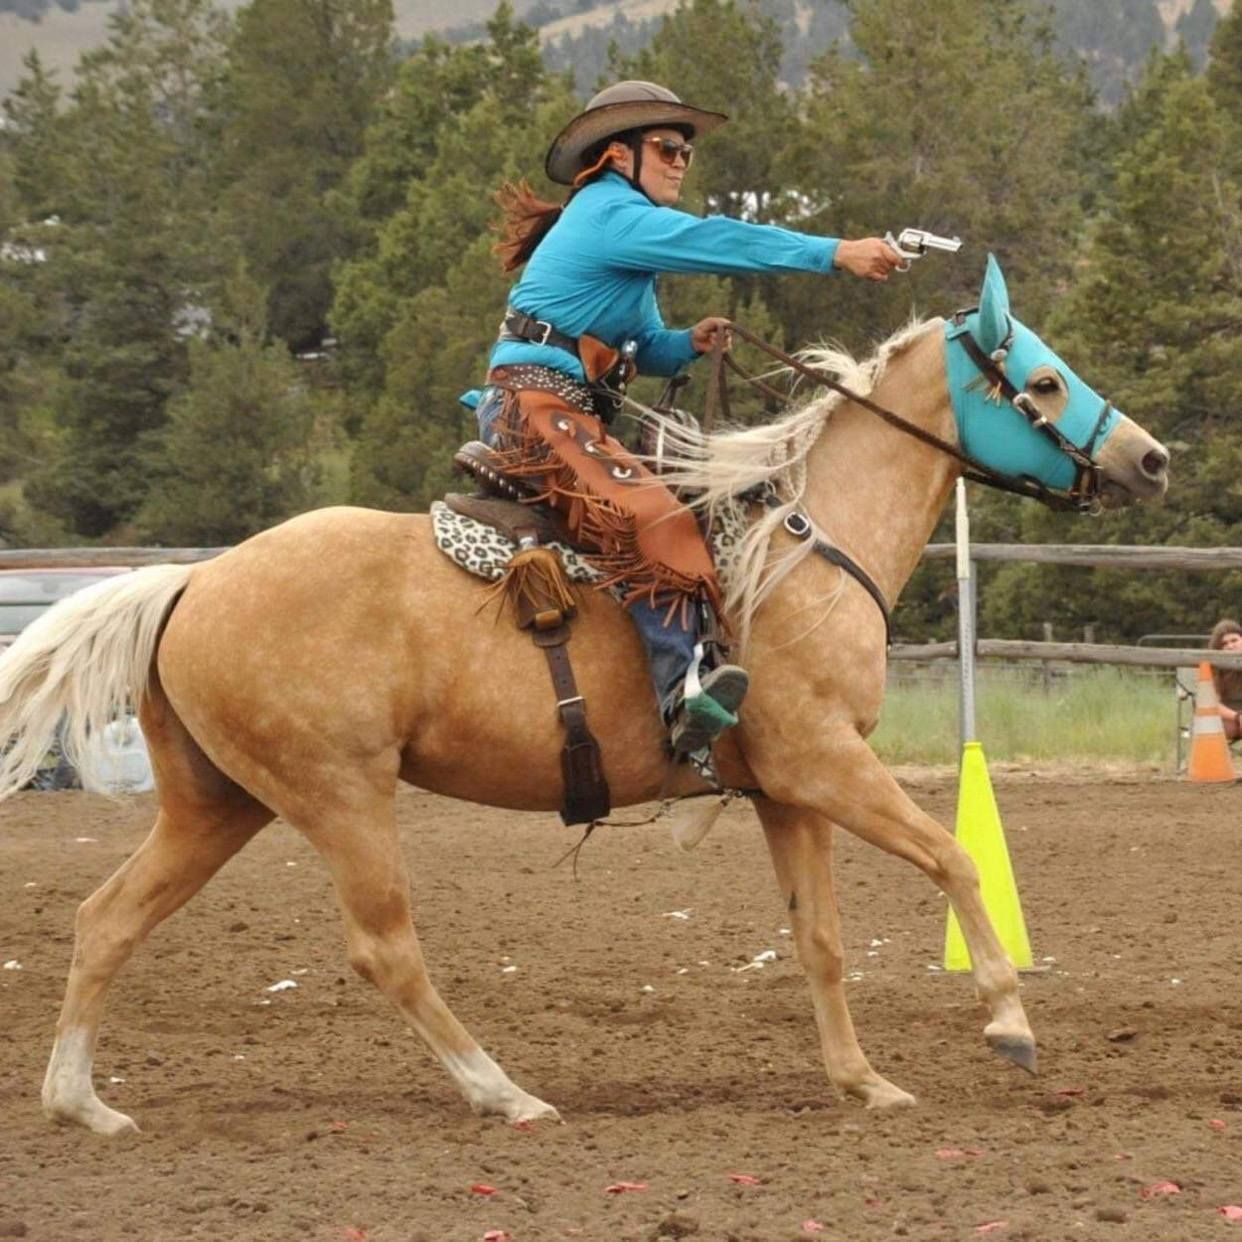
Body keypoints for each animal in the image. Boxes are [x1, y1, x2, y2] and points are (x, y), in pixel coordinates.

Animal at [0, 256, 1168, 1137]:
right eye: (1044, 380)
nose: (1151, 459)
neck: (804, 545)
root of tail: (192, 581)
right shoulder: (826, 760)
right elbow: (955, 856)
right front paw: (1008, 1022)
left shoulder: (787, 792)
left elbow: (821, 941)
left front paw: (863, 1081)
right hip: (340, 796)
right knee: (384, 948)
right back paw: (505, 1092)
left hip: (218, 803)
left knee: (107, 919)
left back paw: (81, 1104)